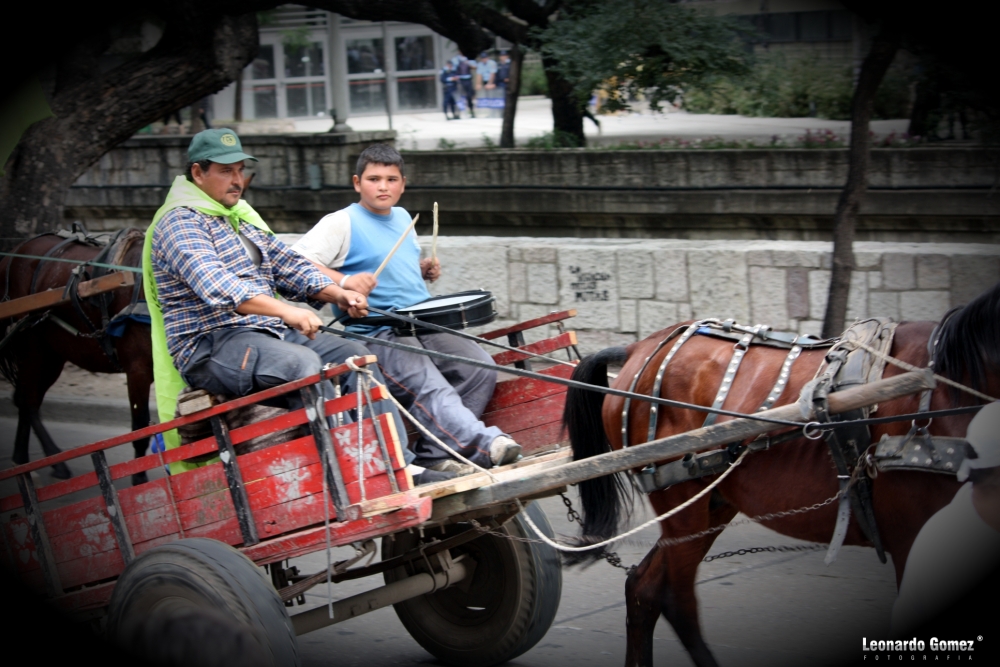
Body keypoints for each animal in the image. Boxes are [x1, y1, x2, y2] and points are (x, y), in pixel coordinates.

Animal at [0, 230, 152, 486]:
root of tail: (13, 254)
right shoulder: (138, 369)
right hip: (31, 347)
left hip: (53, 354)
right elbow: (142, 428)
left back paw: (23, 461)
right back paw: (53, 463)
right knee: (28, 401)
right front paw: (141, 480)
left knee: (25, 399)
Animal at [564, 284, 992, 667]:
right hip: (680, 500)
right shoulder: (912, 537)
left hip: (711, 501)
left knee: (644, 589)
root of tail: (639, 350)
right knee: (675, 599)